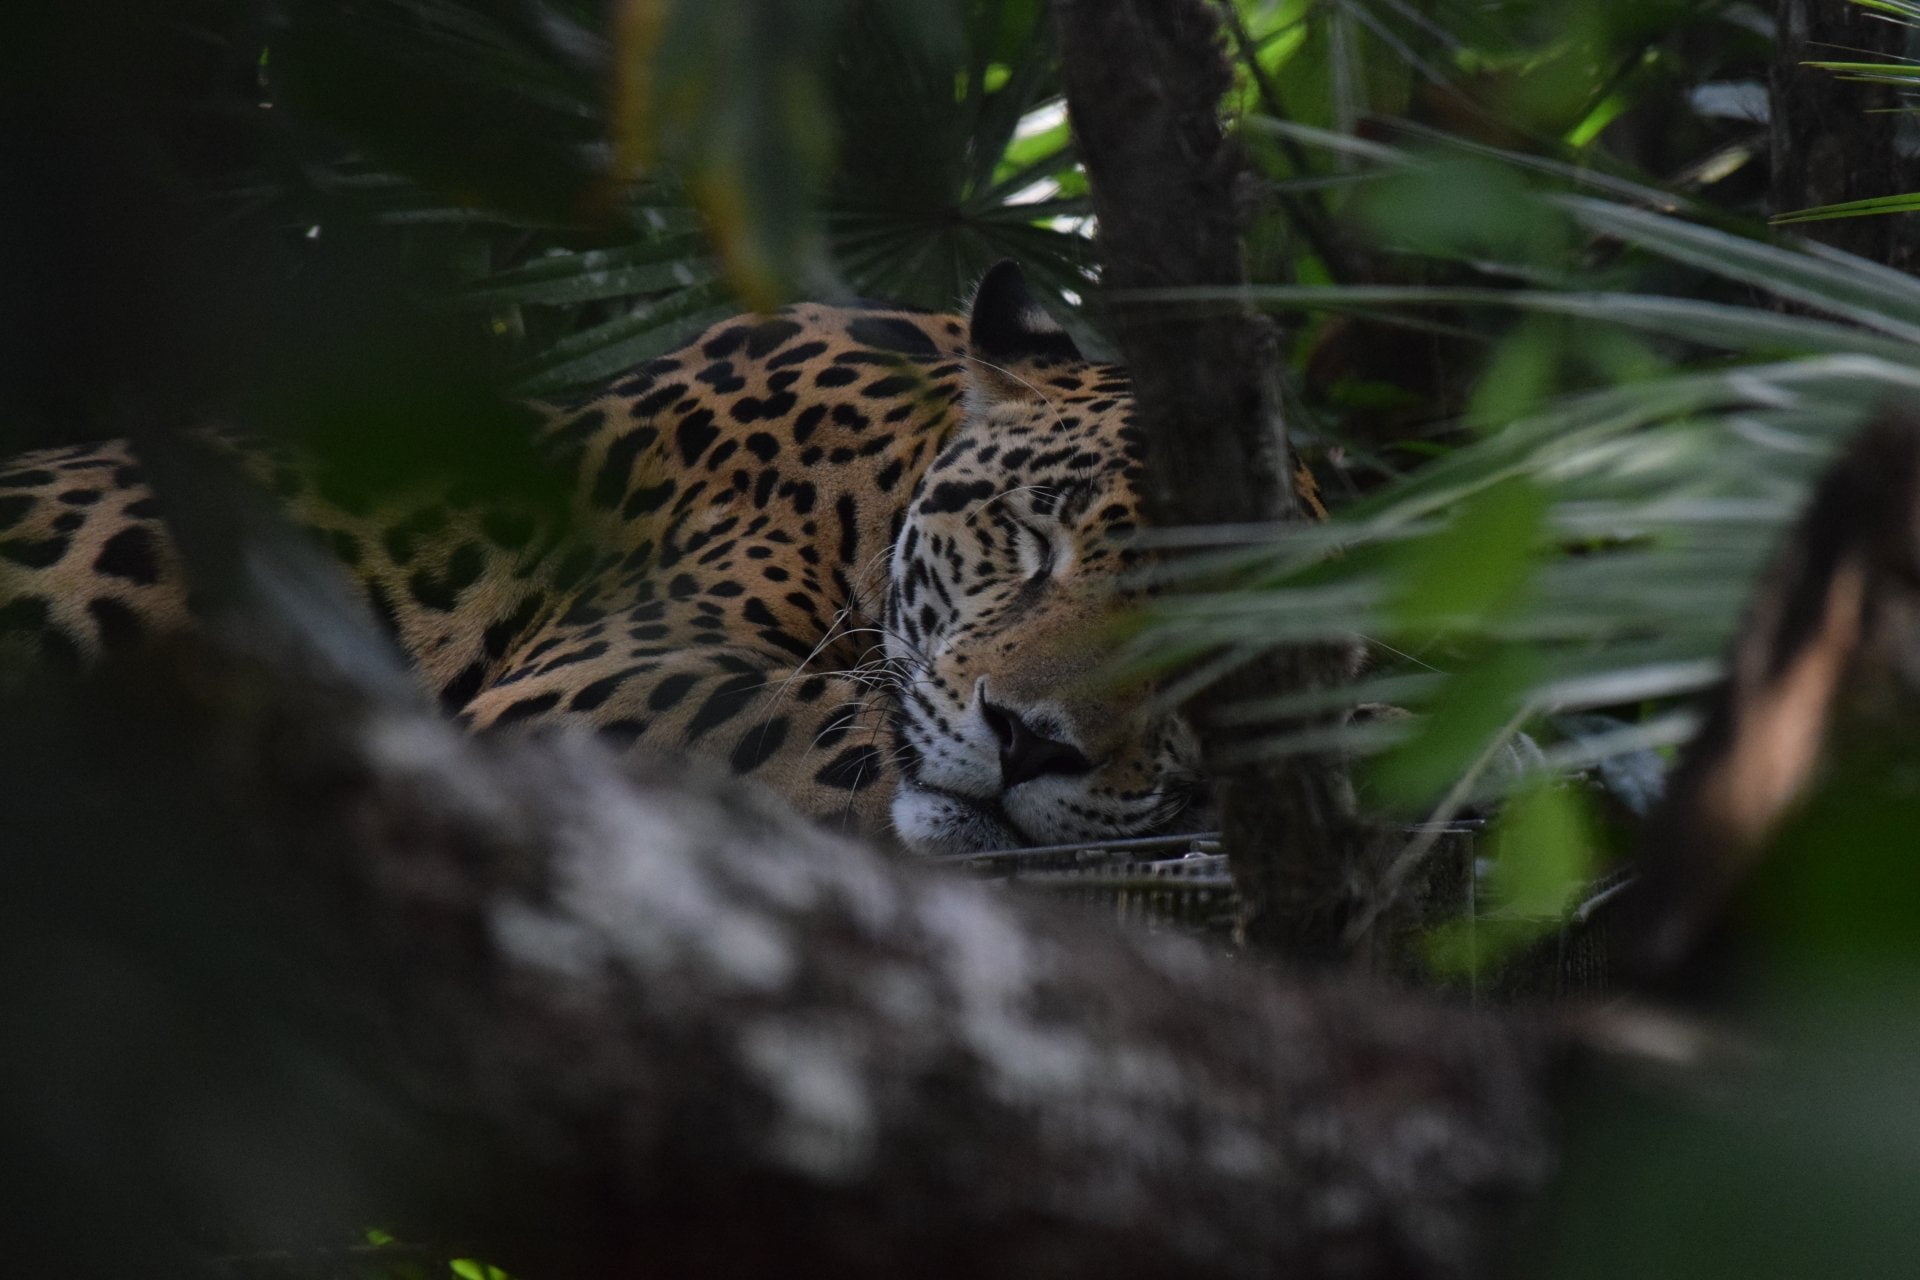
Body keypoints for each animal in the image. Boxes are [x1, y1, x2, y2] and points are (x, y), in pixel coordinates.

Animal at [0, 261, 1208, 854]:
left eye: (1209, 661)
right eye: (1031, 536)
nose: (1028, 746)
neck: (871, 477)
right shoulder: (600, 683)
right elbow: (848, 728)